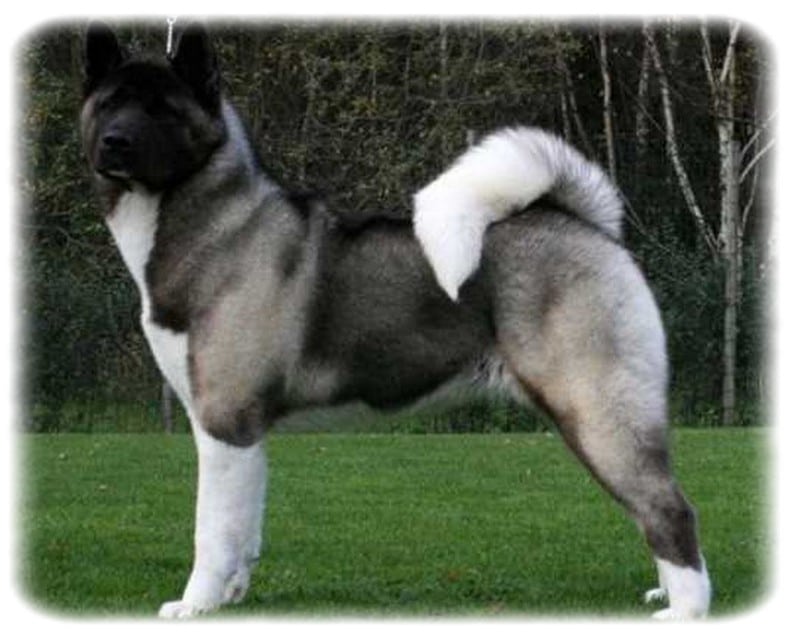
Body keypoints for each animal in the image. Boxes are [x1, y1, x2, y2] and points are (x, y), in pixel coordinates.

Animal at [80, 22, 711, 619]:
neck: (215, 225)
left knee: (668, 508)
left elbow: (211, 531)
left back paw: (685, 610)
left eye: (163, 108)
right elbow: (244, 530)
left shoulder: (224, 423)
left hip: (598, 411)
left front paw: (196, 604)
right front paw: (231, 597)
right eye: (110, 104)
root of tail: (585, 224)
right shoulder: (242, 434)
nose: (115, 141)